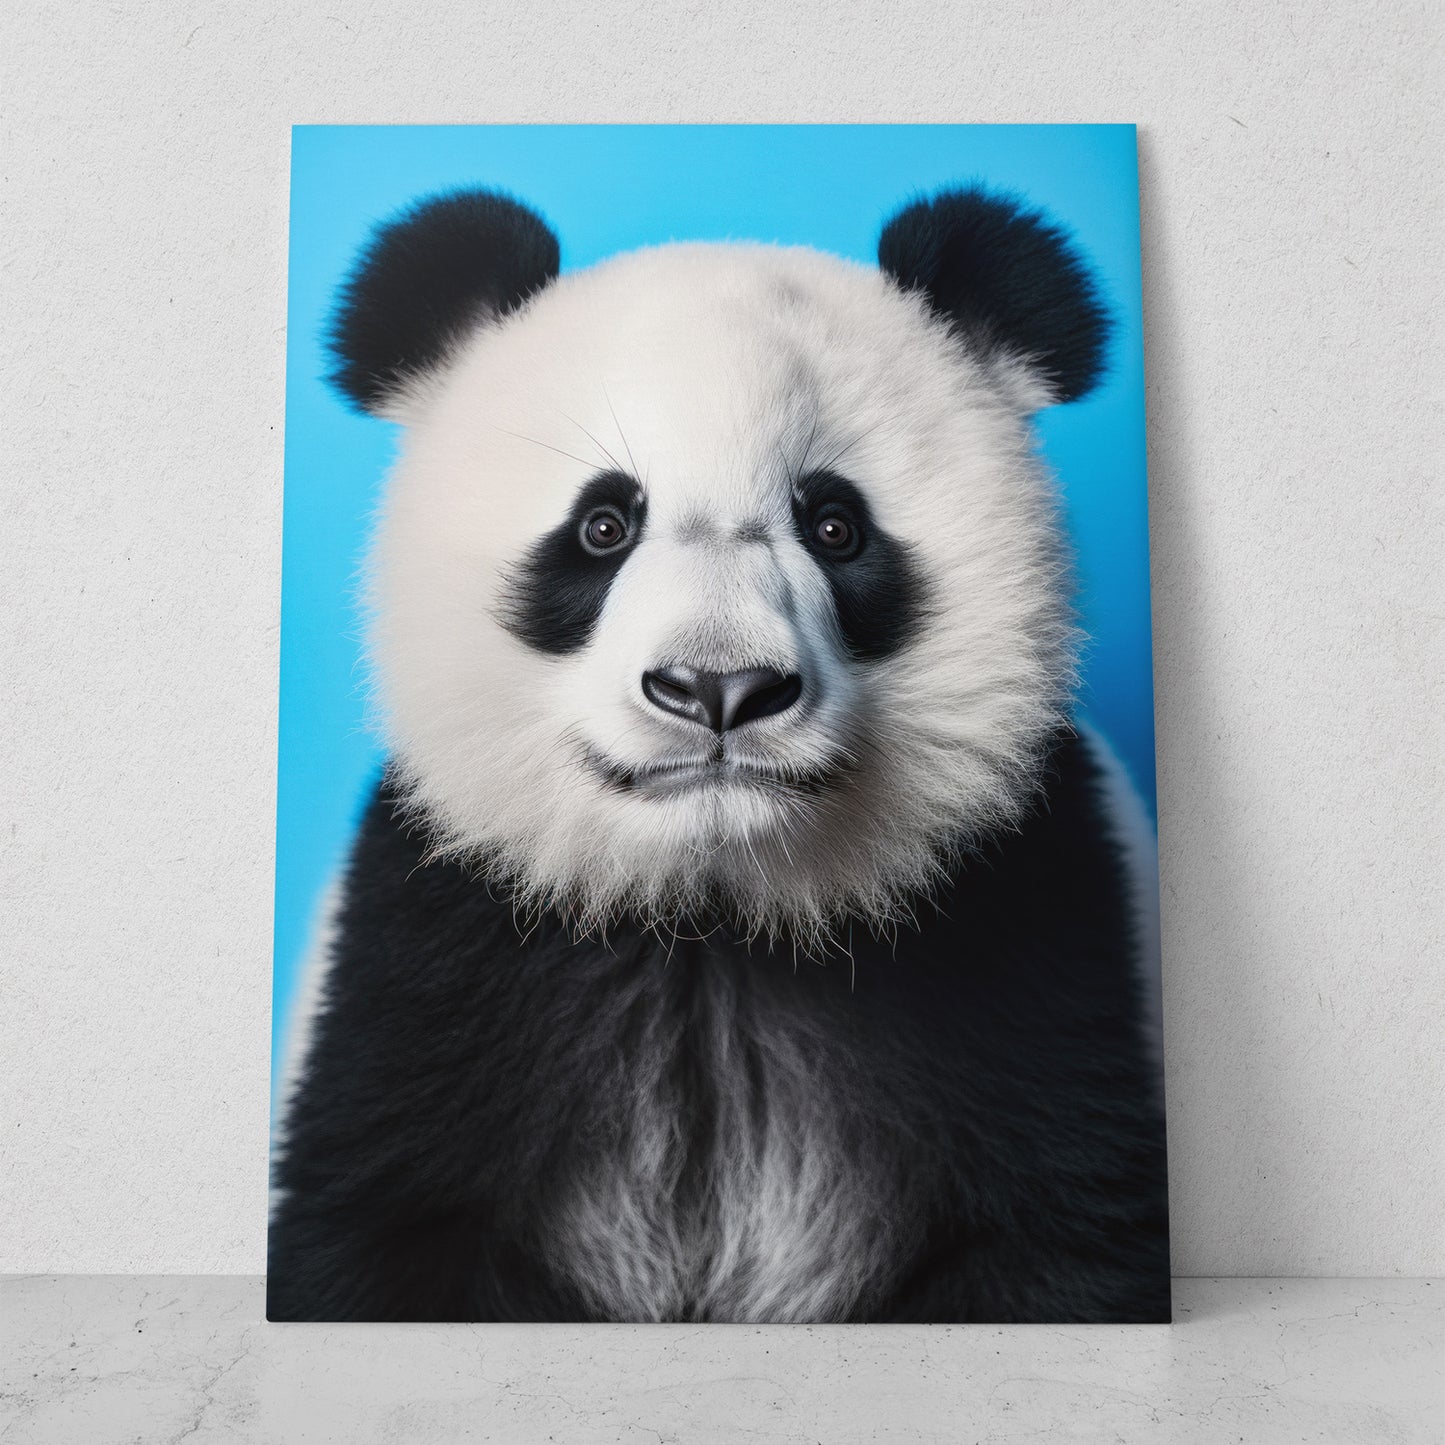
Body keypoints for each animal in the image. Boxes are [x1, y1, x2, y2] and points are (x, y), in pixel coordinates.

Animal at [267, 185, 1171, 1324]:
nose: (718, 690)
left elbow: (1064, 1229)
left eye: (834, 524)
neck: (716, 914)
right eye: (603, 525)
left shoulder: (1031, 937)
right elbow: (382, 1221)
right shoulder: (439, 962)